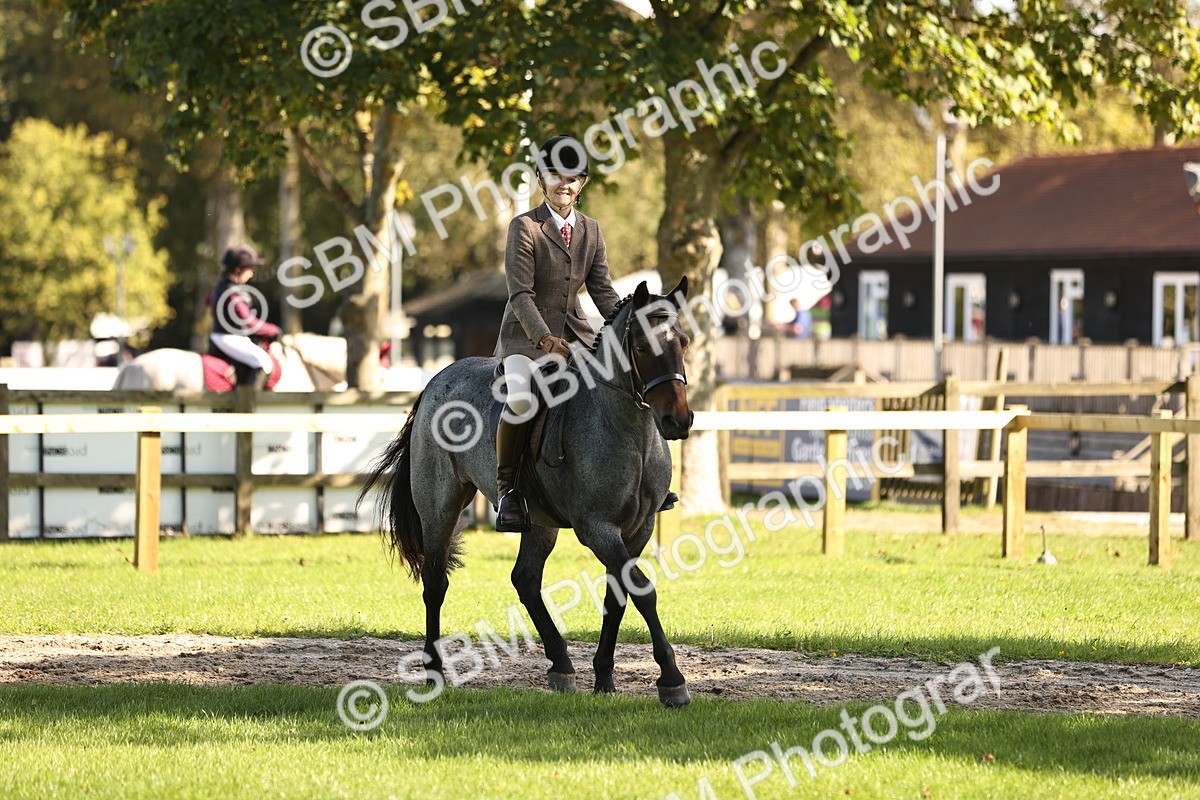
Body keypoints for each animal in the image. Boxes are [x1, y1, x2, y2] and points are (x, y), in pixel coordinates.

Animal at [360, 278, 696, 707]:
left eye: (683, 342)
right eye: (640, 347)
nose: (678, 420)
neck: (628, 430)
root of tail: (438, 378)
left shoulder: (639, 529)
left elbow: (618, 595)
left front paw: (604, 677)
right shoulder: (597, 528)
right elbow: (642, 591)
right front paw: (671, 680)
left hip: (539, 521)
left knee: (525, 579)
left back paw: (562, 666)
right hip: (440, 508)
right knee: (435, 583)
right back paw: (434, 671)